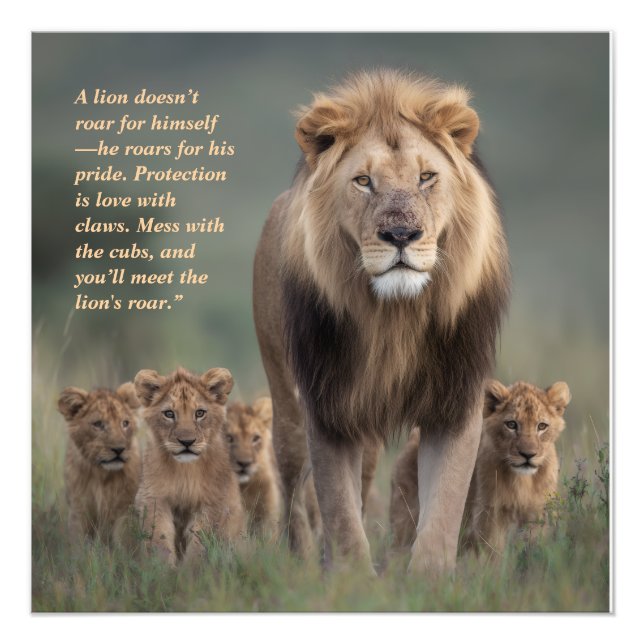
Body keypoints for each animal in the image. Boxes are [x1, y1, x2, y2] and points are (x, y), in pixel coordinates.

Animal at [58, 382, 141, 544]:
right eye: (98, 424)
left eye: (125, 423)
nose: (119, 449)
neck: (101, 474)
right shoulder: (79, 509)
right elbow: (78, 545)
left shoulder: (126, 509)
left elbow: (125, 543)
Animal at [134, 367, 244, 566]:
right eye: (169, 414)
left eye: (200, 413)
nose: (187, 442)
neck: (185, 470)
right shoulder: (153, 497)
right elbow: (158, 537)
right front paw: (162, 569)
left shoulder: (213, 501)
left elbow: (200, 540)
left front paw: (191, 569)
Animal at [253, 69, 510, 574]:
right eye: (363, 181)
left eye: (427, 177)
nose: (401, 234)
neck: (395, 316)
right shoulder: (326, 404)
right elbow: (338, 508)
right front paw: (352, 578)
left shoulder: (455, 399)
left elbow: (444, 503)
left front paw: (429, 577)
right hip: (286, 403)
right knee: (294, 486)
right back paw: (306, 561)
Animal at [389, 380, 571, 553]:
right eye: (511, 424)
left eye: (542, 426)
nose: (528, 455)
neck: (522, 481)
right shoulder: (490, 514)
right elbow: (492, 552)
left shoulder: (538, 513)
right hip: (405, 518)